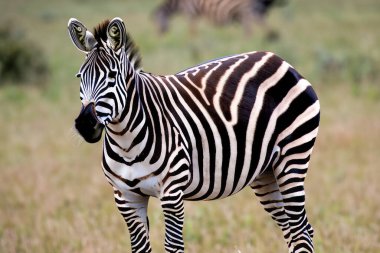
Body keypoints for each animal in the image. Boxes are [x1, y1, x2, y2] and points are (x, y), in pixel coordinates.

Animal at [68, 16, 320, 252]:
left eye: (112, 76)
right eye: (79, 77)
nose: (85, 124)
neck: (126, 142)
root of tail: (278, 60)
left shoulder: (171, 193)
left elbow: (173, 245)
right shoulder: (126, 198)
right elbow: (139, 247)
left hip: (292, 158)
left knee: (300, 230)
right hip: (265, 172)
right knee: (295, 229)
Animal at [153, 0, 286, 34]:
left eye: (157, 21)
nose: (160, 34)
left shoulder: (189, 10)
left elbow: (192, 29)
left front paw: (192, 40)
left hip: (244, 10)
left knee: (251, 27)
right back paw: (272, 35)